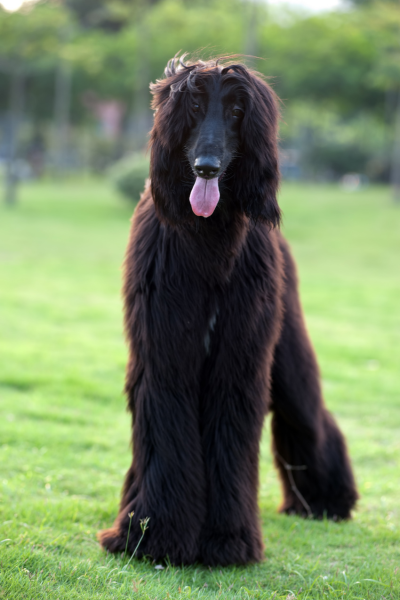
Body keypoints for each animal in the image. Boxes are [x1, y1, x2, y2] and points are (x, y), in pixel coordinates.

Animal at [98, 56, 358, 568]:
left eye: (237, 111)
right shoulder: (165, 350)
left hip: (287, 345)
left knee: (306, 411)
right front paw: (153, 536)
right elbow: (166, 428)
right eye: (195, 106)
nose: (207, 167)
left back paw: (325, 501)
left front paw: (228, 541)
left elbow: (232, 433)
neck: (208, 241)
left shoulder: (239, 357)